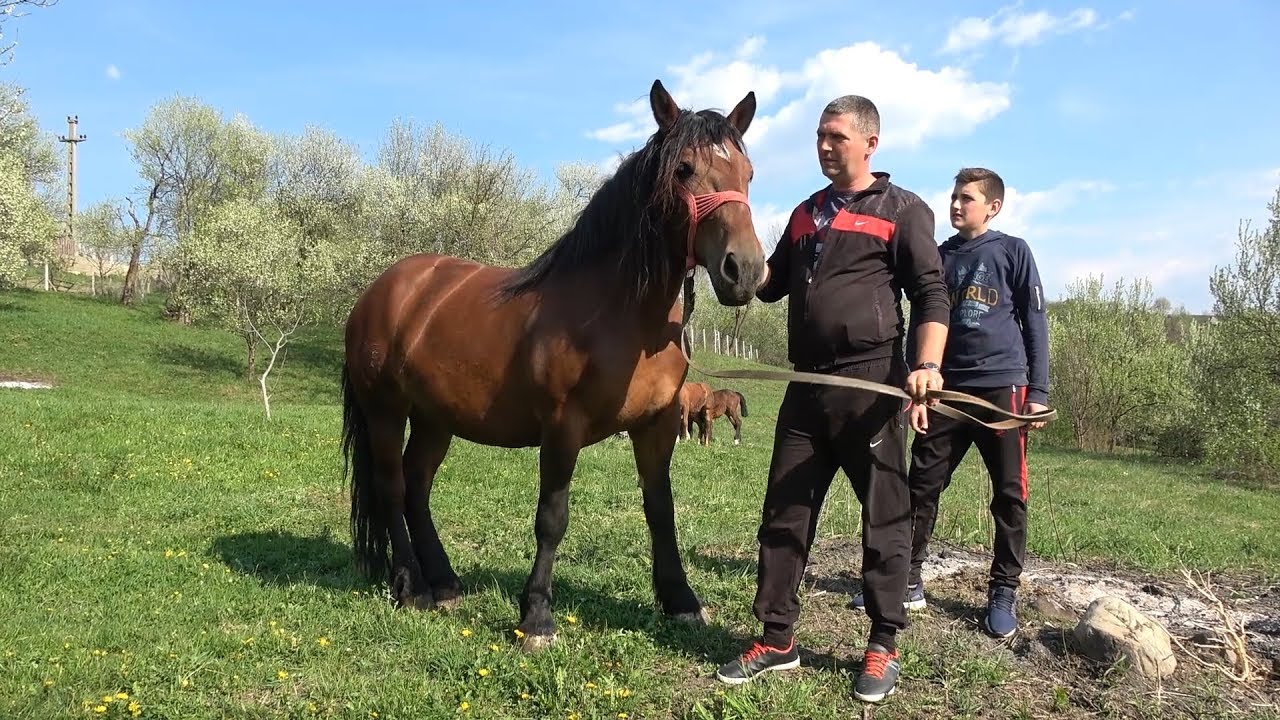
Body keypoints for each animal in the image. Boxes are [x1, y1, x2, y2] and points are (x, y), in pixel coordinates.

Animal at [339, 79, 766, 650]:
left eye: (748, 173)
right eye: (683, 169)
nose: (745, 270)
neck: (622, 316)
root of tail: (380, 291)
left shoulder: (655, 426)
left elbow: (661, 510)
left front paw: (681, 602)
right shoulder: (563, 428)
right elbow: (553, 517)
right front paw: (537, 616)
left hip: (435, 419)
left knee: (417, 486)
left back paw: (446, 582)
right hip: (386, 412)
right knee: (392, 487)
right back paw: (413, 588)